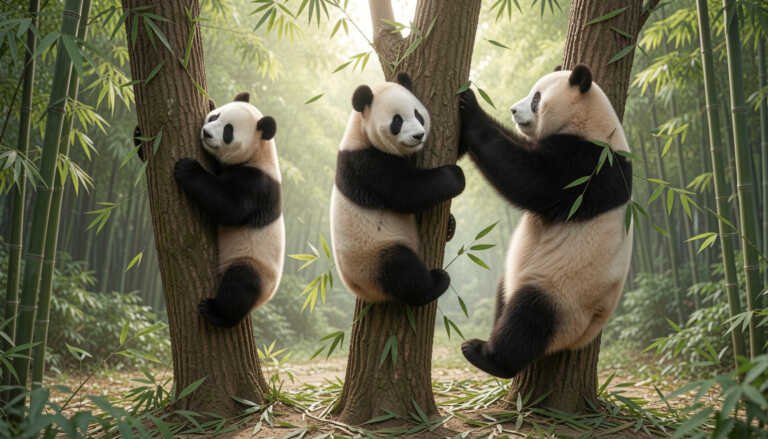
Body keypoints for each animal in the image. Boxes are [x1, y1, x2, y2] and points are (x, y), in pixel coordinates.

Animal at [174, 92, 285, 328]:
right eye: (215, 116)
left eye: (228, 131)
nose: (206, 133)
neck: (260, 152)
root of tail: (264, 300)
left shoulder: (257, 185)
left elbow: (230, 207)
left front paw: (187, 168)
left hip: (254, 264)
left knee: (240, 284)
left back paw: (216, 312)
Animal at [330, 73, 465, 306]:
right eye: (397, 121)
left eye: (418, 115)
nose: (419, 135)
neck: (359, 131)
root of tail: (367, 294)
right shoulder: (366, 164)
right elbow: (407, 192)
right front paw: (456, 175)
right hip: (371, 258)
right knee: (402, 270)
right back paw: (436, 282)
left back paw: (450, 225)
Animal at [457, 65, 633, 378]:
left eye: (536, 98)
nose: (513, 110)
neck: (593, 122)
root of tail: (580, 338)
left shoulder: (591, 166)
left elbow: (530, 177)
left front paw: (470, 104)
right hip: (524, 281)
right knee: (504, 290)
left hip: (564, 294)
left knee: (530, 316)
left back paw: (484, 354)